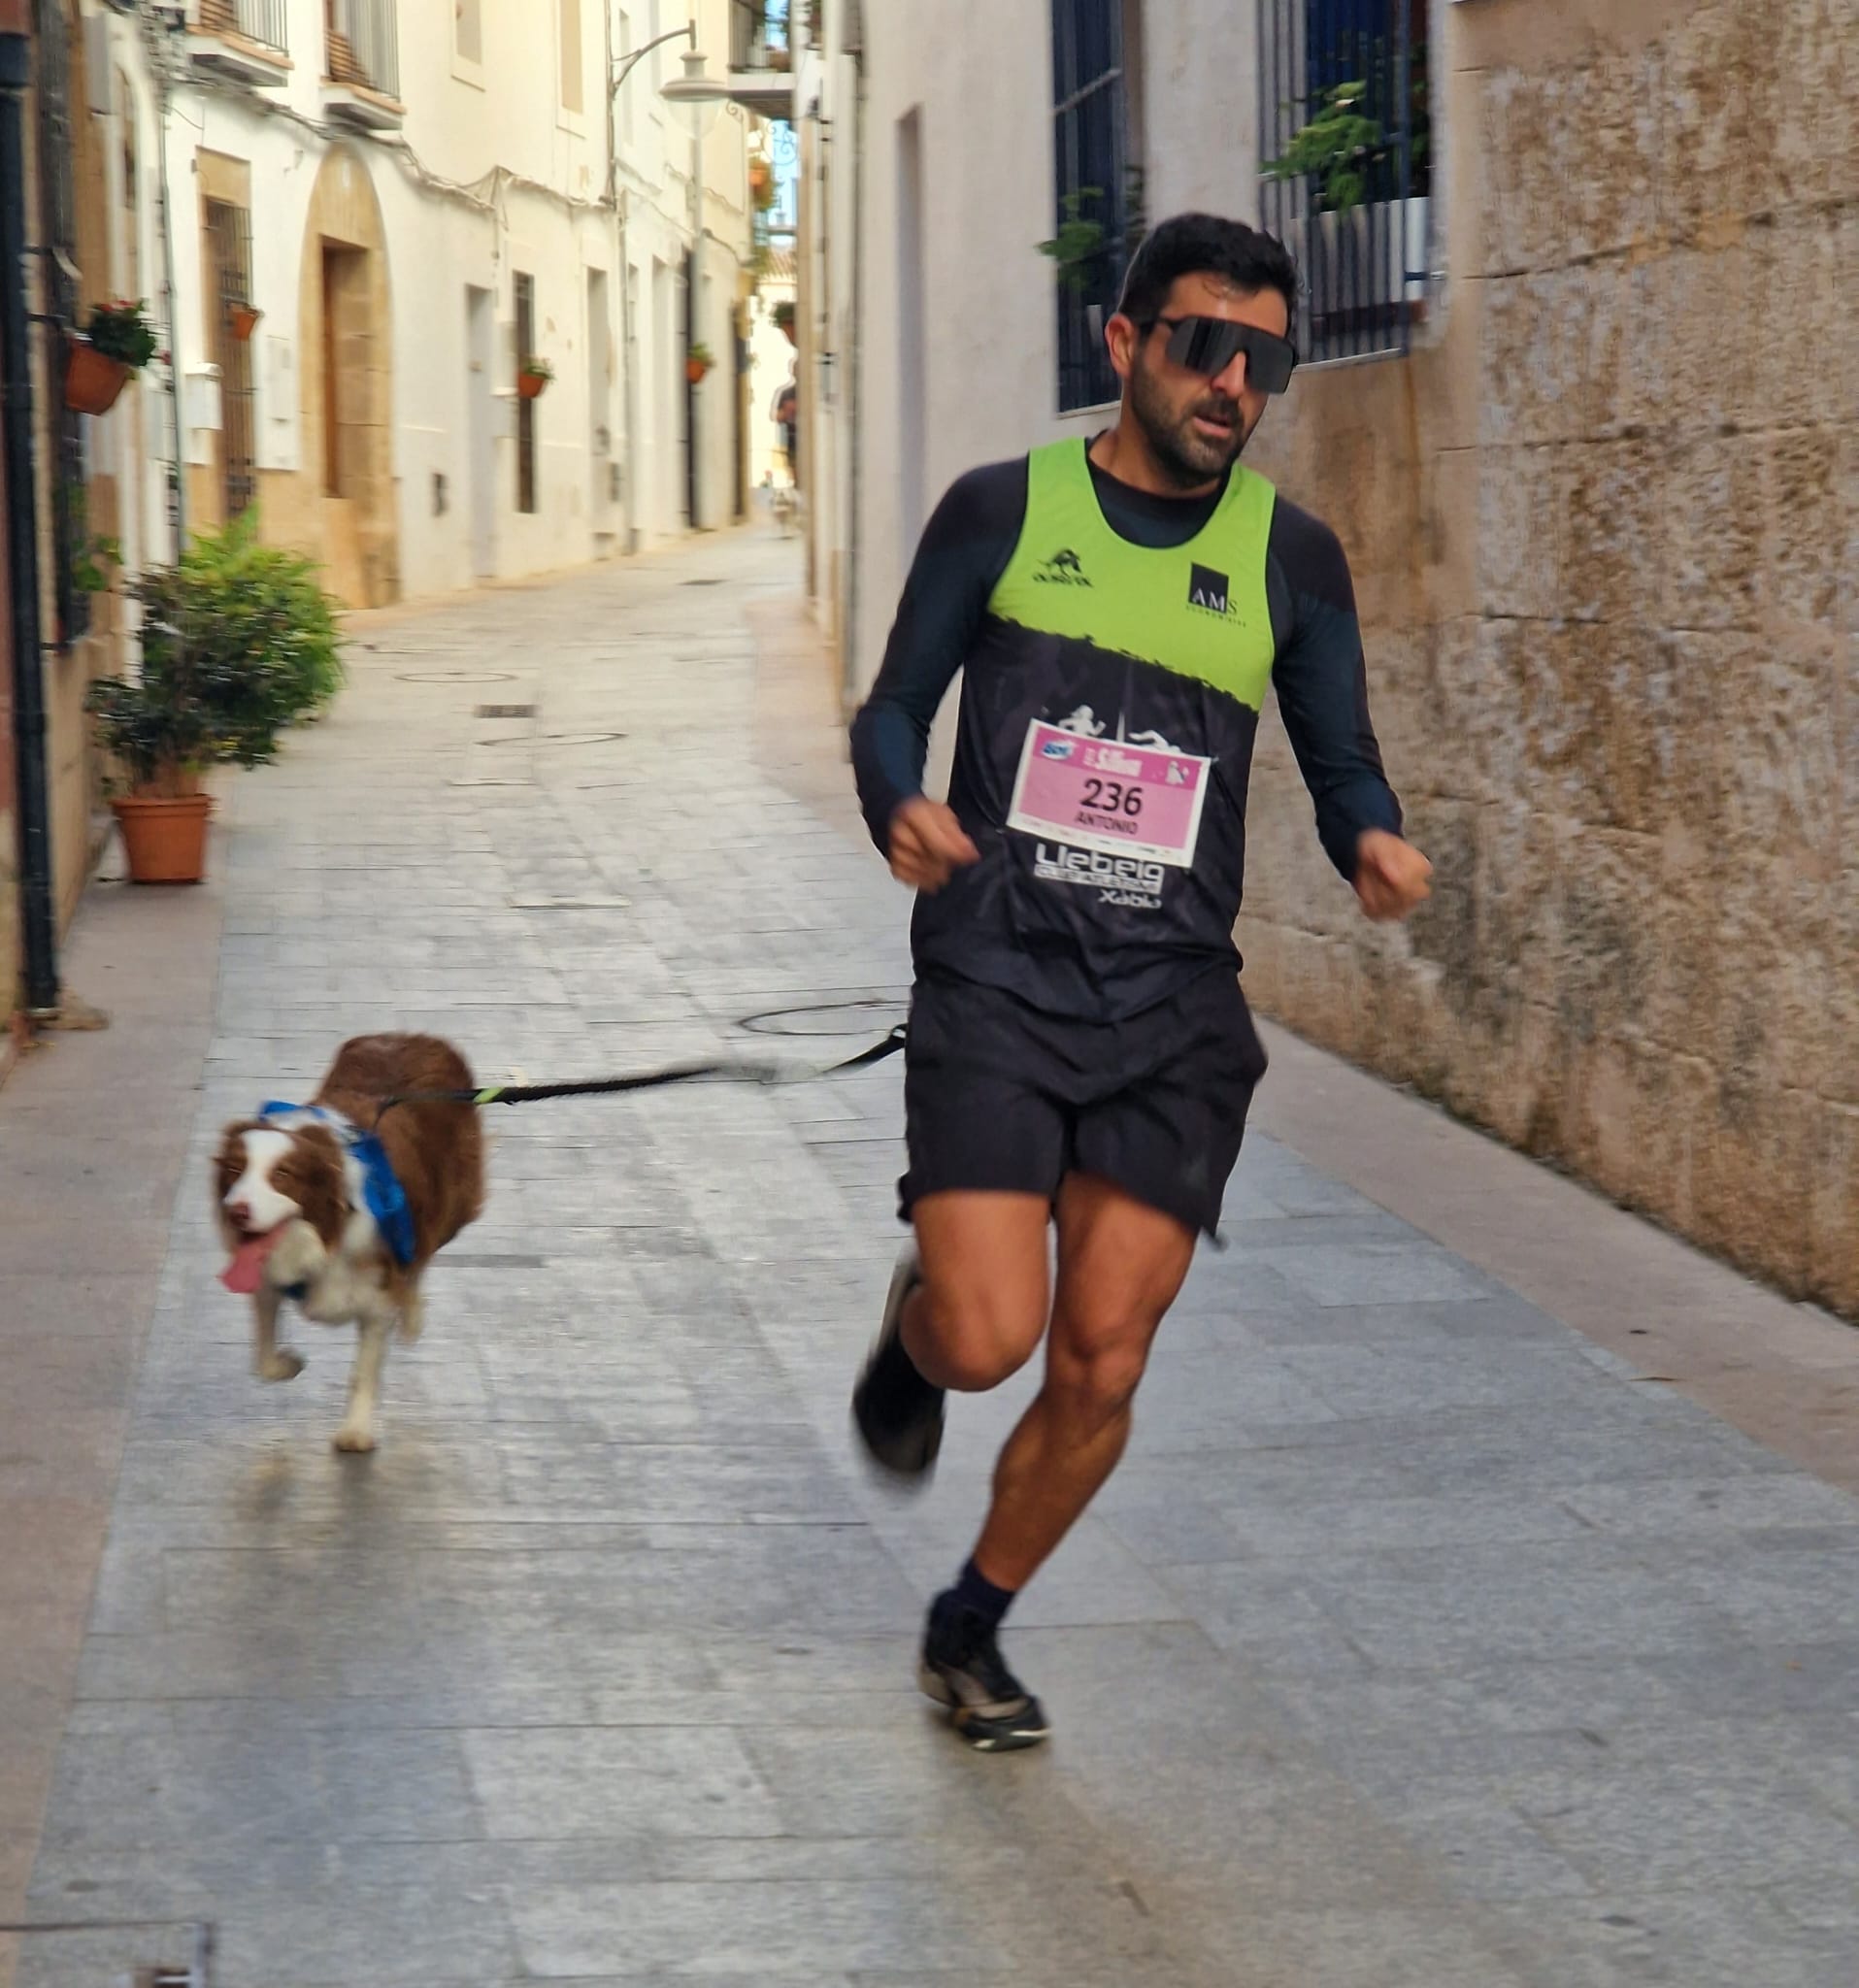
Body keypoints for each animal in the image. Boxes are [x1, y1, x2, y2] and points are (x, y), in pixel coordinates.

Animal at [216, 1042, 486, 1446]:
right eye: (235, 1169)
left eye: (282, 1175)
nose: (236, 1212)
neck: (324, 1235)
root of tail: (425, 1038)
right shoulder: (267, 1278)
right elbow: (262, 1357)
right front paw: (286, 1364)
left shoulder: (377, 1297)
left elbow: (364, 1370)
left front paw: (356, 1431)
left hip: (449, 1208)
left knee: (422, 1256)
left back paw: (412, 1314)